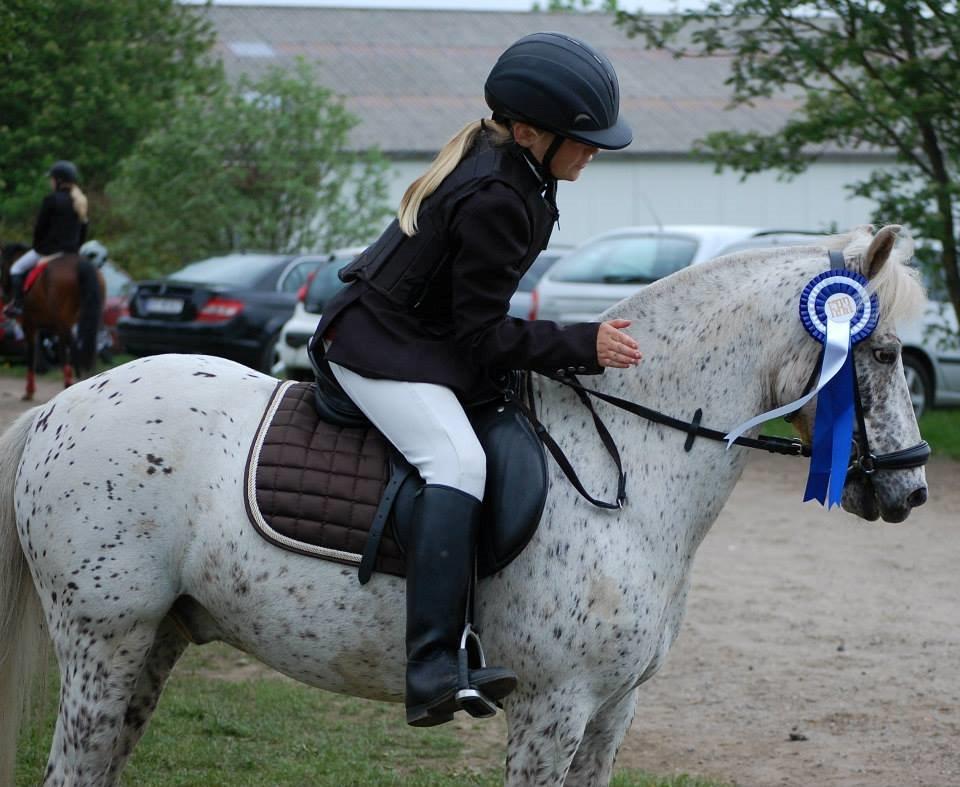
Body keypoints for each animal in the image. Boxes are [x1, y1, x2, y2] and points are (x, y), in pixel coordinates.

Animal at [0, 242, 105, 400]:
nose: (3, 293)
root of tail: (79, 264)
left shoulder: (28, 325)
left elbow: (31, 354)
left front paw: (29, 391)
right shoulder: (55, 328)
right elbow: (61, 353)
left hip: (63, 319)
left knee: (74, 346)